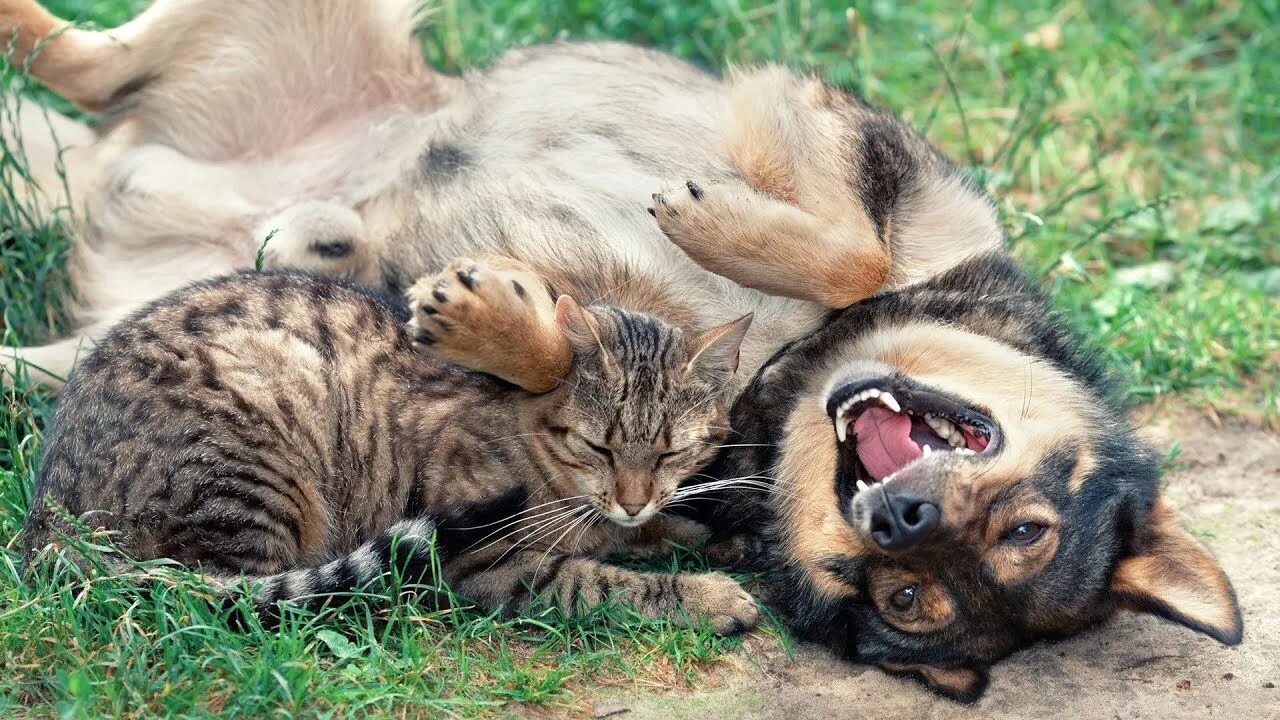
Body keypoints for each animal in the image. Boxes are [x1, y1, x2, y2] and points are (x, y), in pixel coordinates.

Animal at [22, 258, 757, 632]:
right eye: (599, 447)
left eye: (669, 452)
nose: (632, 499)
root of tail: (44, 518)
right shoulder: (488, 559)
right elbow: (598, 582)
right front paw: (711, 597)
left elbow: (648, 530)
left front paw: (707, 532)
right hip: (260, 465)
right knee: (240, 597)